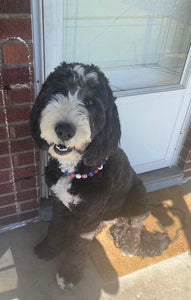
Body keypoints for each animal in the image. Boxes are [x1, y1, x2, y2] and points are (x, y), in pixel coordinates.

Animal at [30, 62, 170, 290]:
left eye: (90, 102)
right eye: (58, 91)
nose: (64, 130)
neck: (76, 169)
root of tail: (117, 221)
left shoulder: (90, 214)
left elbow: (79, 245)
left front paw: (69, 274)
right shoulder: (58, 202)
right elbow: (55, 226)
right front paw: (49, 249)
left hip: (139, 194)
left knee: (136, 224)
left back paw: (129, 244)